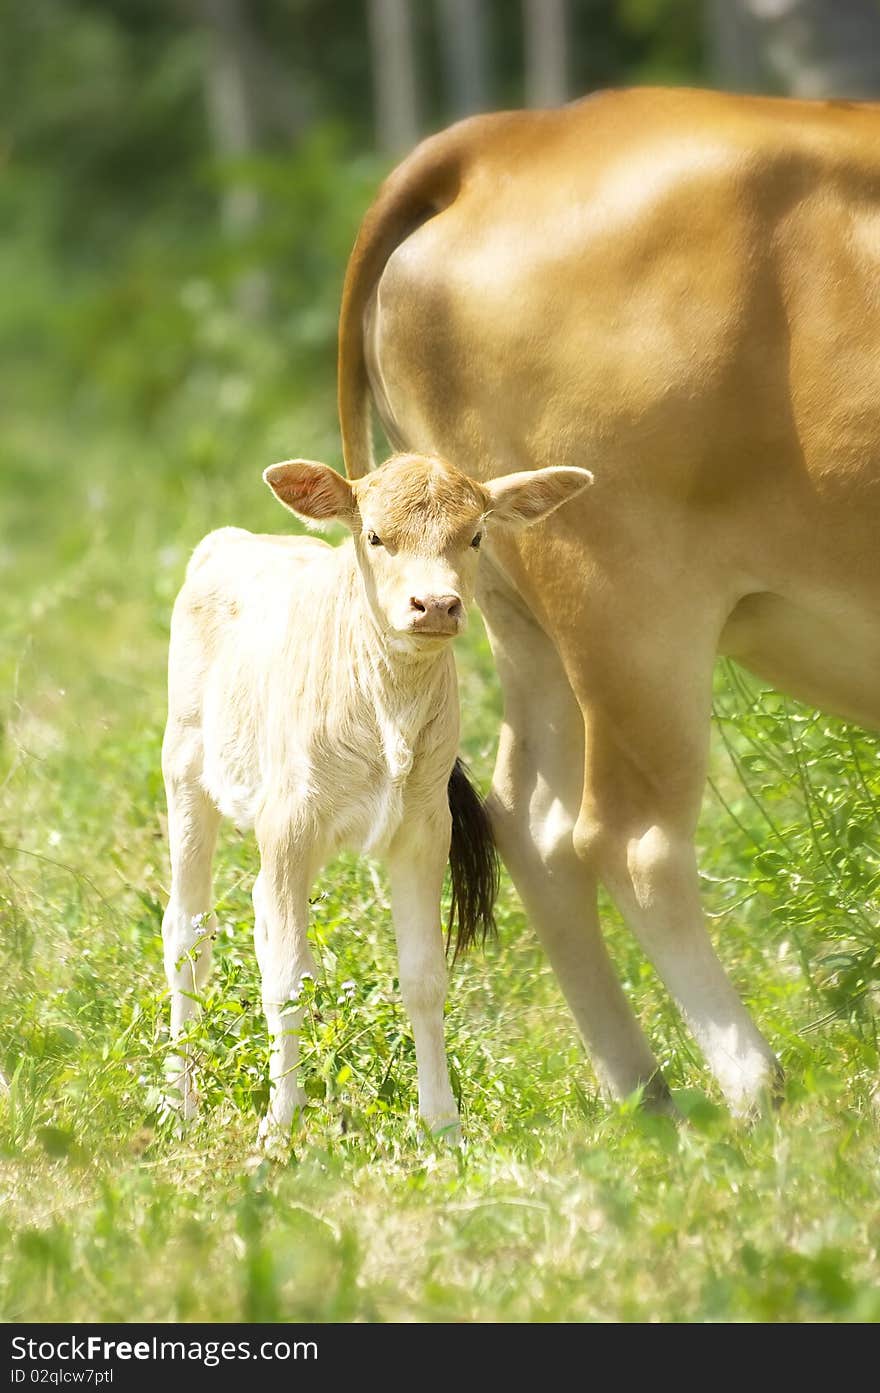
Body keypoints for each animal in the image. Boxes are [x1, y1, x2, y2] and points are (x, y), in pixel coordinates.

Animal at [162, 448, 595, 1142]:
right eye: (374, 536)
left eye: (475, 536)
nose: (436, 604)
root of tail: (227, 542)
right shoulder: (288, 825)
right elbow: (287, 984)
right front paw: (278, 1130)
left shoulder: (425, 829)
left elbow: (423, 979)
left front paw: (442, 1126)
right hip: (184, 771)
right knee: (186, 933)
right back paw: (179, 1101)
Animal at [332, 84, 880, 1108]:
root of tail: (506, 141)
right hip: (630, 607)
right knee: (629, 836)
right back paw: (752, 1082)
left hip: (508, 599)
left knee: (531, 822)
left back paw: (643, 1091)